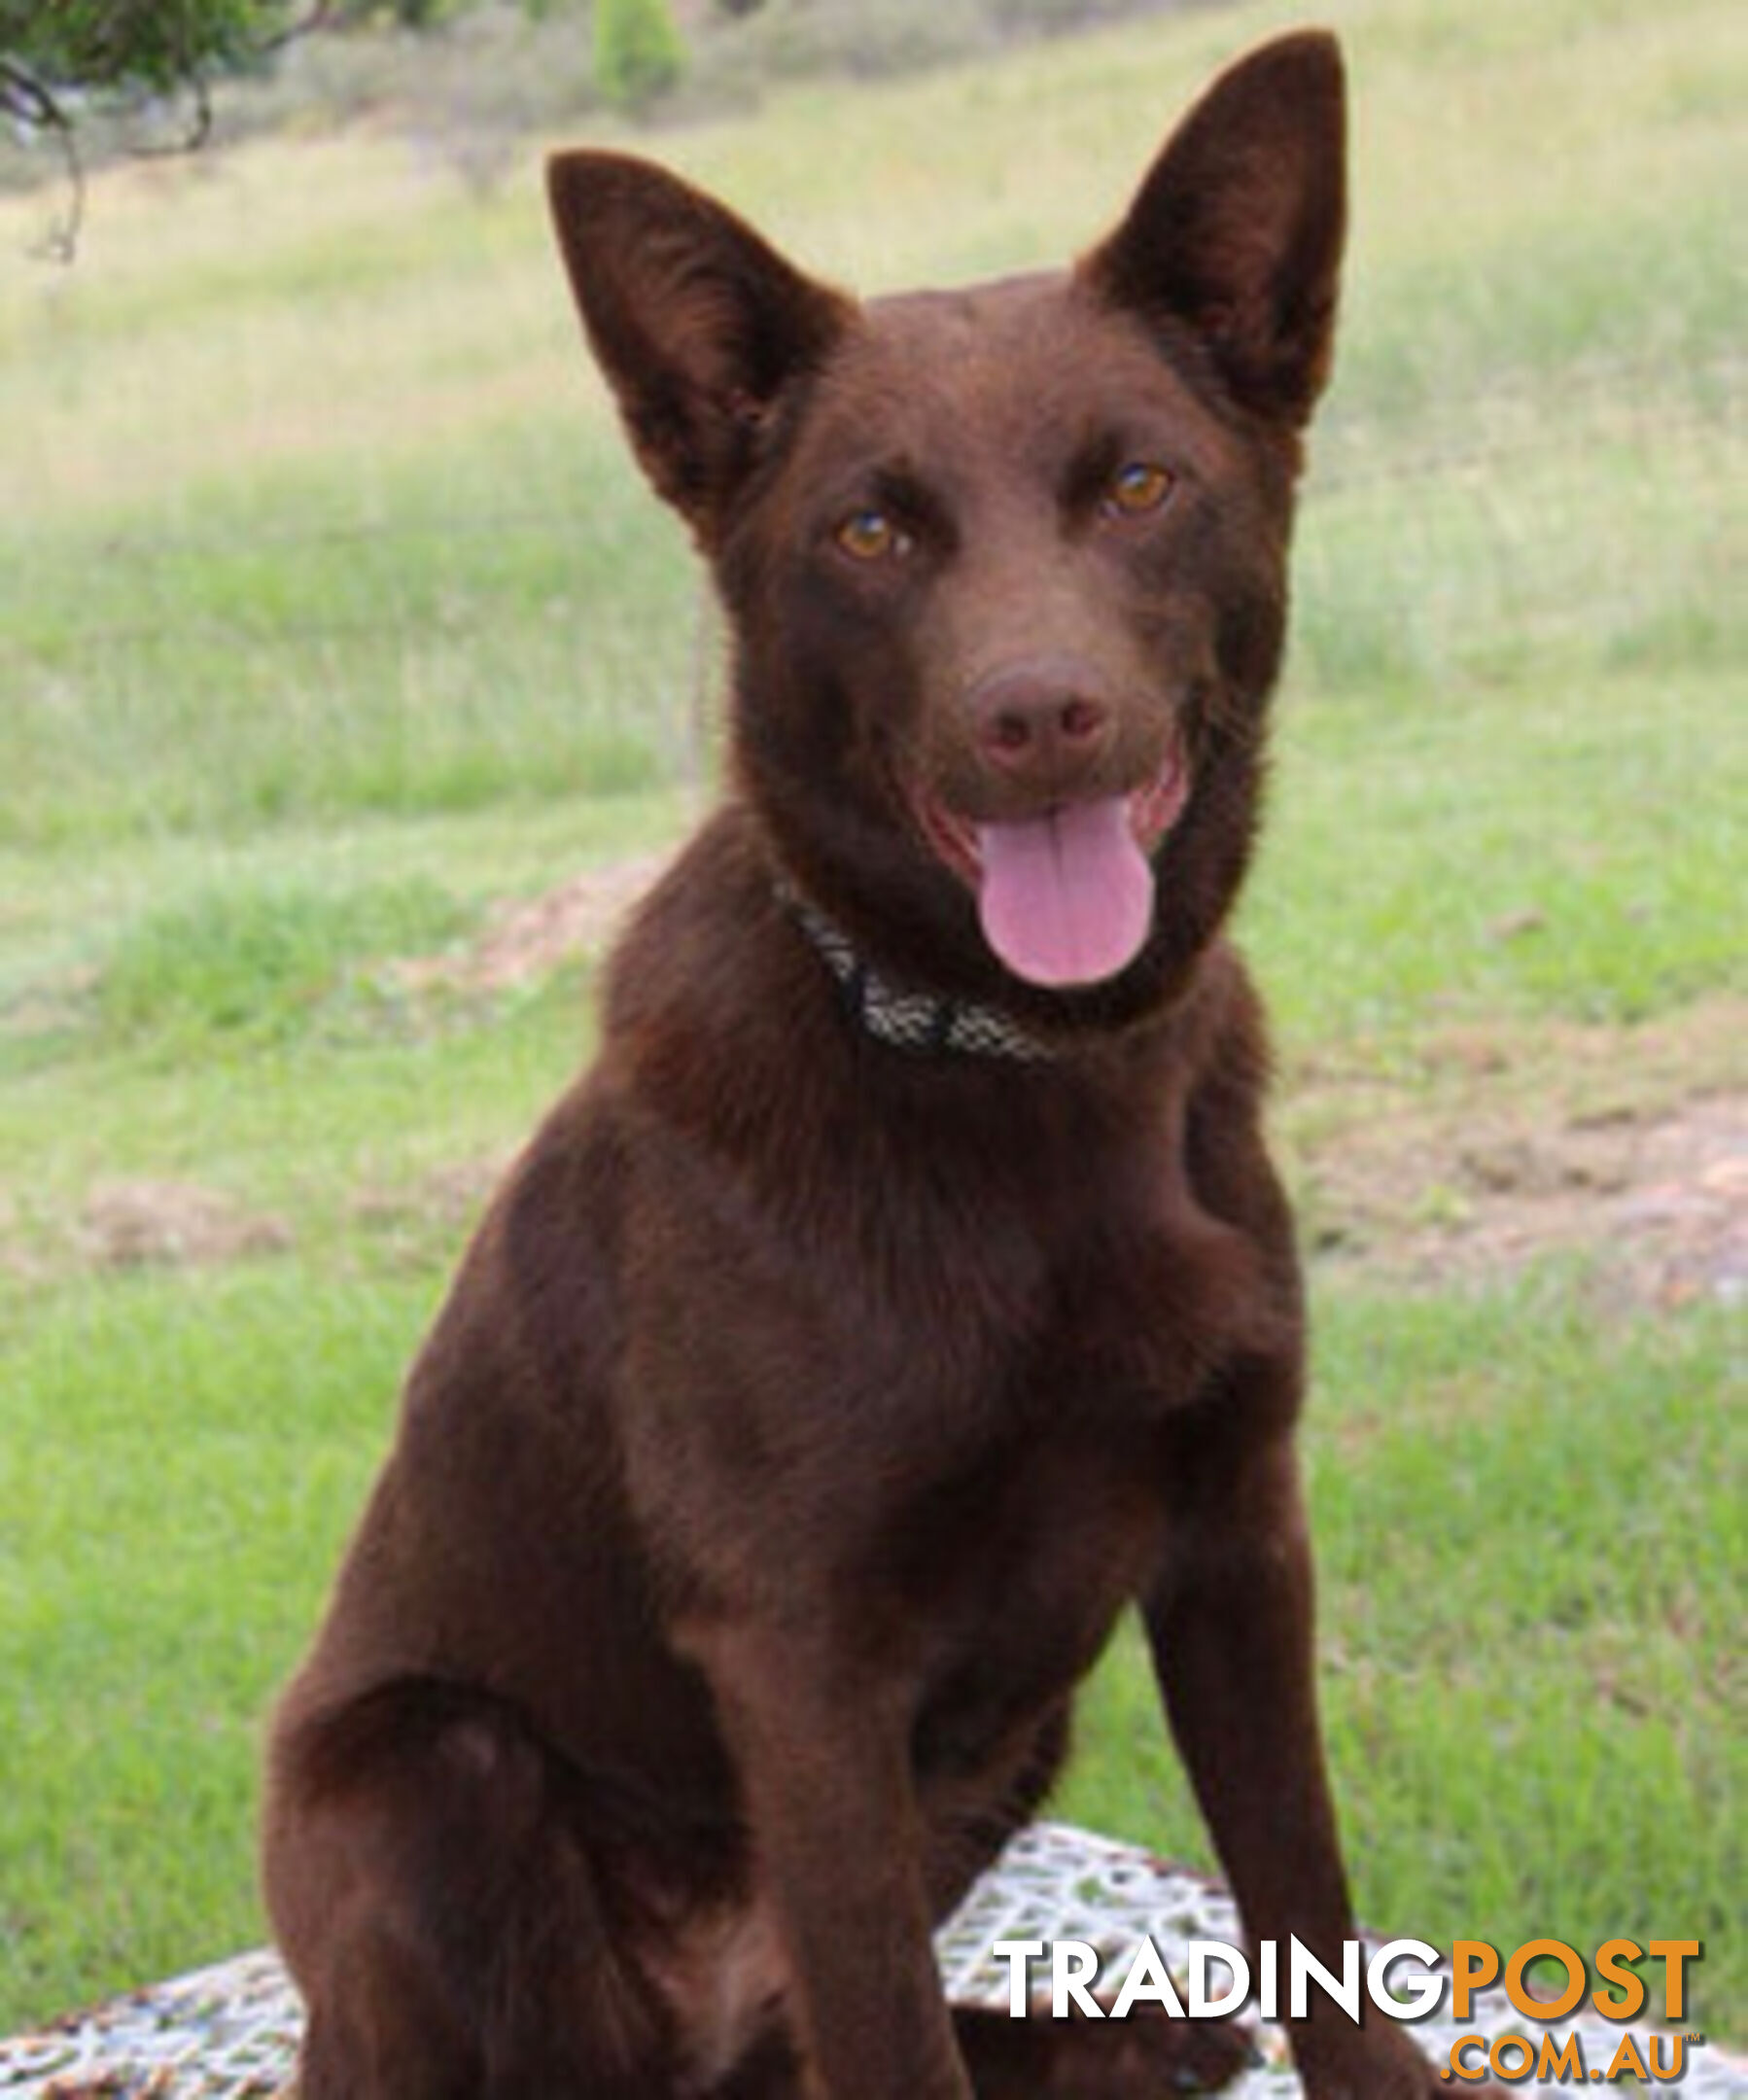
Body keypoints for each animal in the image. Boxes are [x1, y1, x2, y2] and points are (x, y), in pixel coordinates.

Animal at [259, 32, 1487, 2100]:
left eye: (1138, 482)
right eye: (869, 529)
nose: (1037, 715)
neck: (1008, 1066)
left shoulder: (1238, 1538)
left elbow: (1306, 1906)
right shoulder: (800, 1659)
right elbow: (889, 2037)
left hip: (1007, 1743)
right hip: (428, 1772)